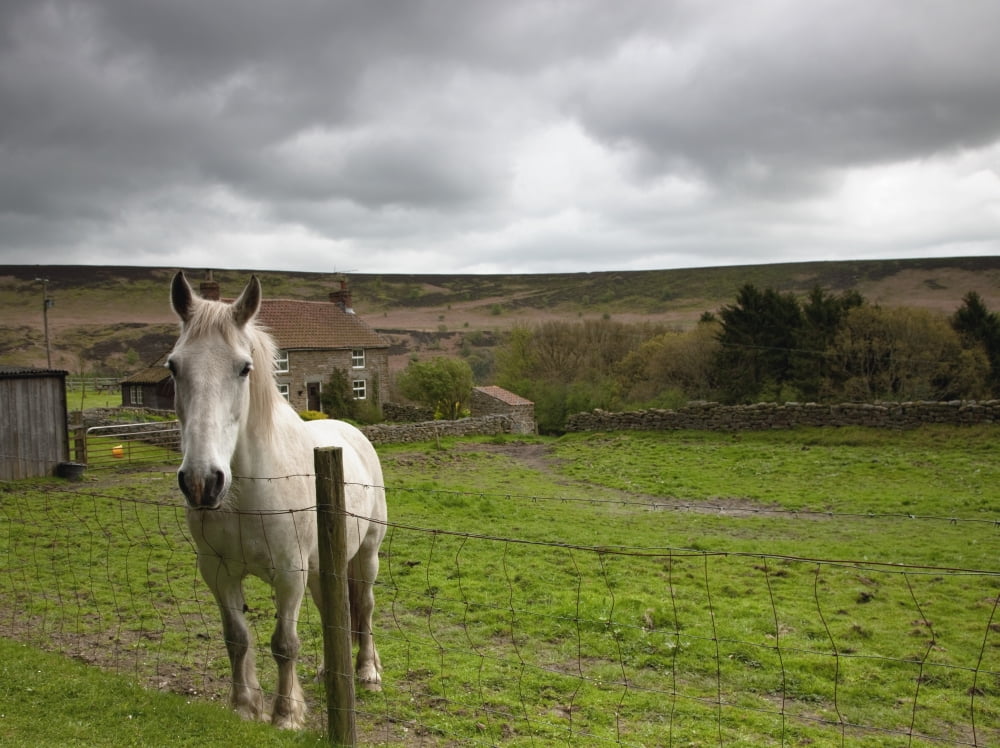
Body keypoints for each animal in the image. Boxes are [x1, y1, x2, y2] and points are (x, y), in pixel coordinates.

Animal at [167, 270, 387, 729]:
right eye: (174, 366)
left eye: (244, 368)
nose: (201, 482)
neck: (247, 492)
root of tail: (353, 432)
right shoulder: (217, 572)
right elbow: (236, 638)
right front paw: (244, 706)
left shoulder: (289, 574)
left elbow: (285, 643)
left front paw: (285, 714)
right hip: (324, 568)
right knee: (335, 614)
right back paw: (331, 671)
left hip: (366, 555)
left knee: (366, 606)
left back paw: (367, 672)